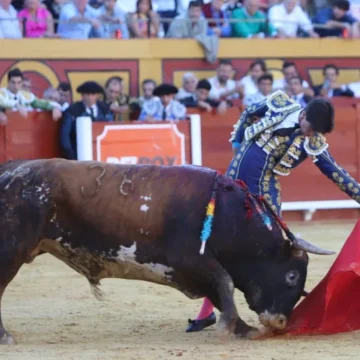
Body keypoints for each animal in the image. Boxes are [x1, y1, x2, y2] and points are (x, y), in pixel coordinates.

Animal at [0, 160, 334, 344]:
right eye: (291, 276)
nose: (280, 323)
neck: (230, 216)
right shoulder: (191, 260)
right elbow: (225, 284)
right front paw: (230, 327)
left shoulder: (194, 270)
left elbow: (219, 292)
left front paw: (242, 328)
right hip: (11, 251)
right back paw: (5, 336)